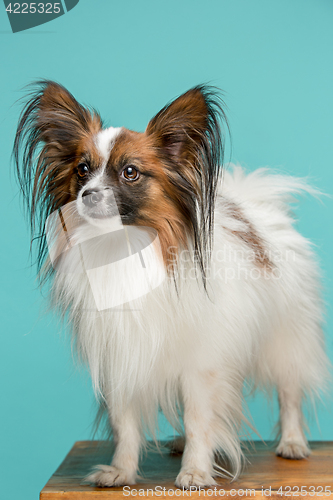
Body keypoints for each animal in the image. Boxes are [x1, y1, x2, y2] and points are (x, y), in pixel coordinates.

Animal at [14, 82, 328, 488]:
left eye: (130, 172)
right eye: (82, 170)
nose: (87, 195)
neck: (124, 247)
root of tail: (258, 211)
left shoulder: (202, 363)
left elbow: (199, 418)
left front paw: (195, 471)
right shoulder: (122, 355)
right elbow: (126, 423)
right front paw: (121, 470)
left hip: (284, 337)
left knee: (290, 391)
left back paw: (292, 442)